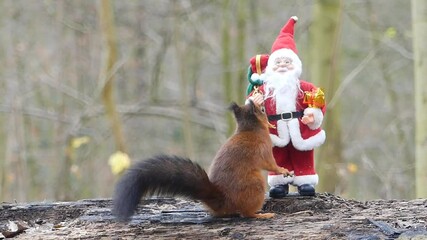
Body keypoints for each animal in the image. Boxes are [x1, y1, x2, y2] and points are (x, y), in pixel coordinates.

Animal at [112, 100, 290, 220]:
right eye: (262, 110)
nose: (265, 105)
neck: (250, 129)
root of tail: (224, 200)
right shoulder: (263, 150)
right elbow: (270, 164)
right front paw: (283, 170)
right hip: (255, 185)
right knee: (246, 214)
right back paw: (262, 214)